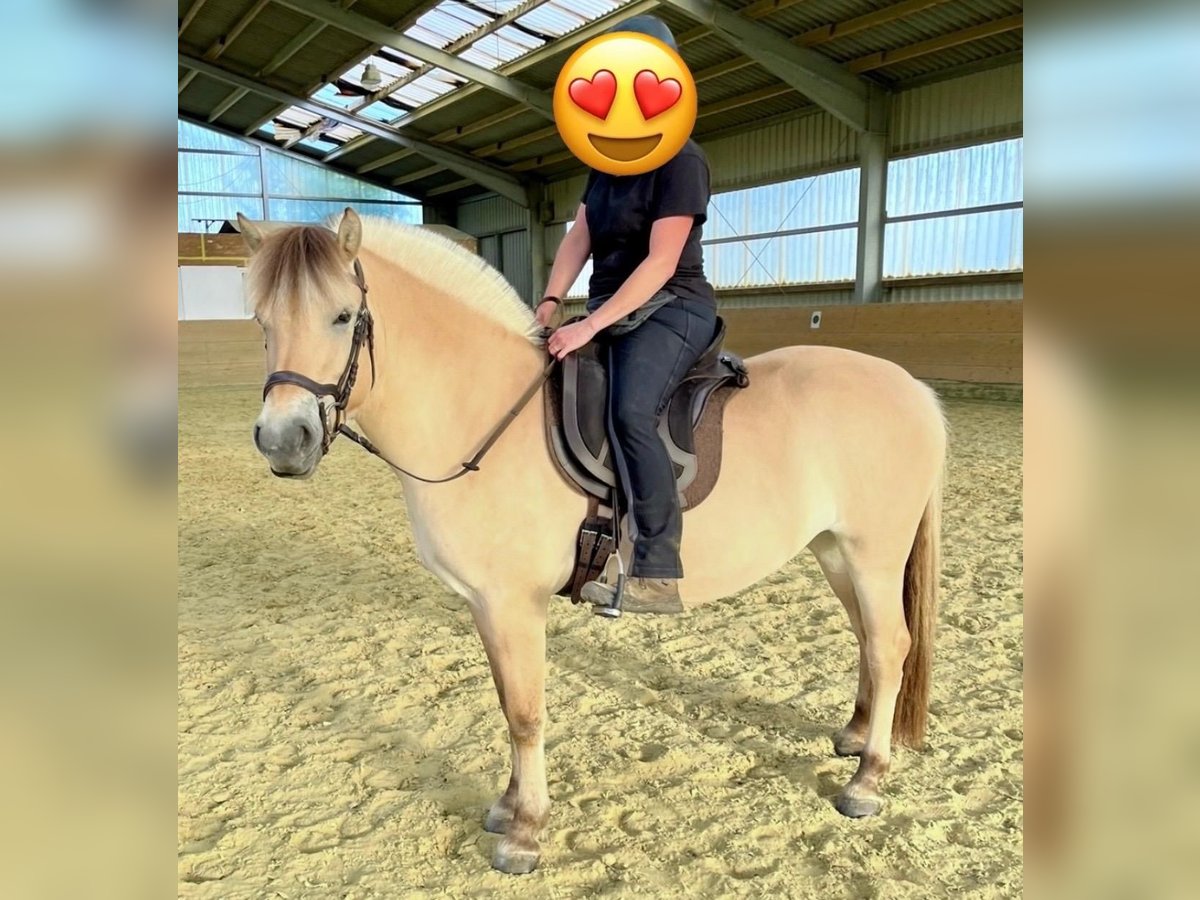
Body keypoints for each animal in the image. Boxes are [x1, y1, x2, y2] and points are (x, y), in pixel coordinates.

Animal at [238, 208, 945, 875]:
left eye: (342, 316)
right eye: (260, 320)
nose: (283, 441)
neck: (482, 410)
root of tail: (912, 387)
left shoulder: (514, 604)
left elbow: (526, 714)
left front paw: (525, 833)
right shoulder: (486, 607)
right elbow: (507, 704)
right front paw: (506, 808)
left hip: (873, 553)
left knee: (890, 647)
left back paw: (866, 781)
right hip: (835, 551)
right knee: (869, 642)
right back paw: (854, 737)